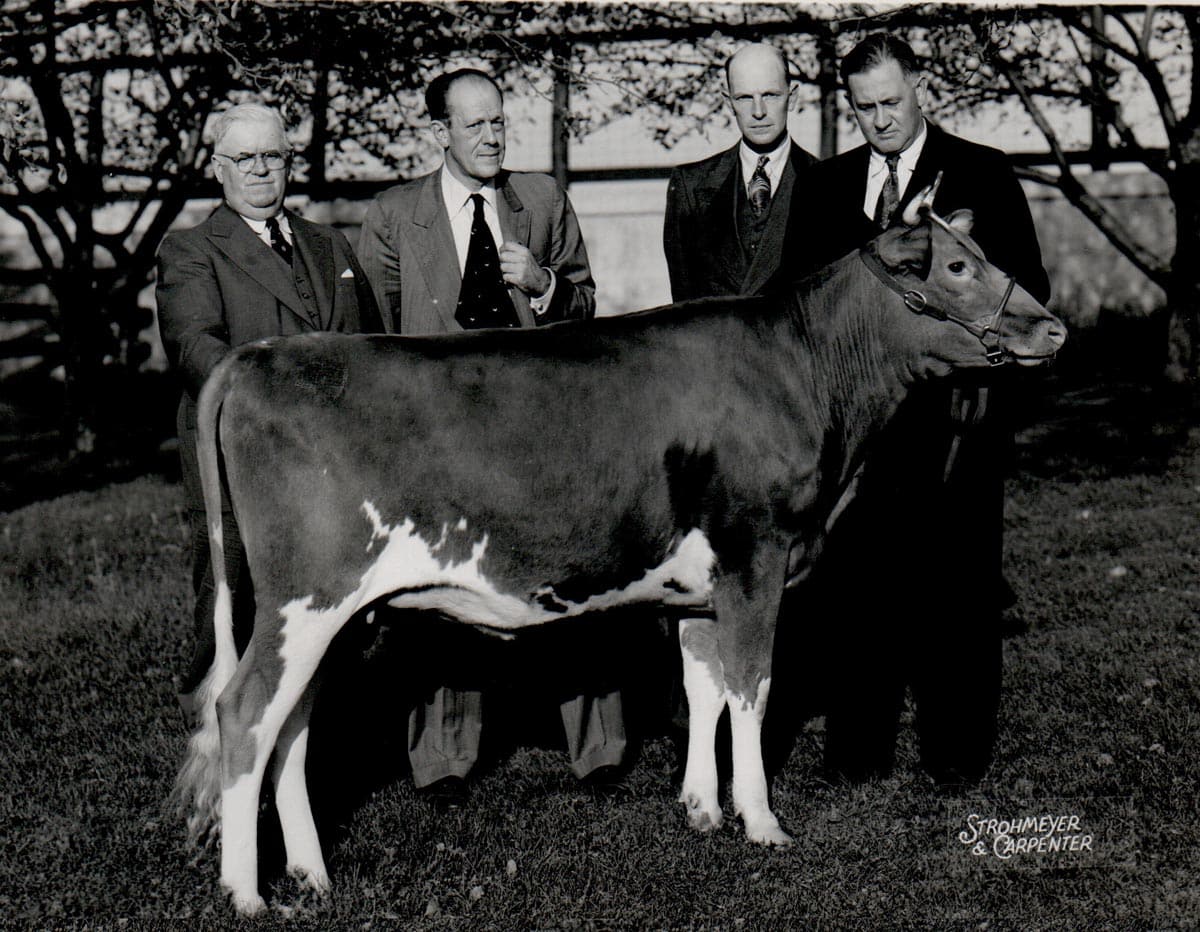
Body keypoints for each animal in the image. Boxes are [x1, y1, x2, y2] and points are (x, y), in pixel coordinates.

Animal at [173, 184, 1065, 914]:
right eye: (959, 265)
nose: (1052, 324)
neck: (805, 369)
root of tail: (260, 356)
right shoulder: (757, 553)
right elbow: (753, 689)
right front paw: (763, 822)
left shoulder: (702, 582)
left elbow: (705, 687)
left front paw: (703, 809)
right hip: (304, 597)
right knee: (245, 713)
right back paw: (247, 894)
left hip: (332, 614)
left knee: (292, 727)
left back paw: (313, 875)